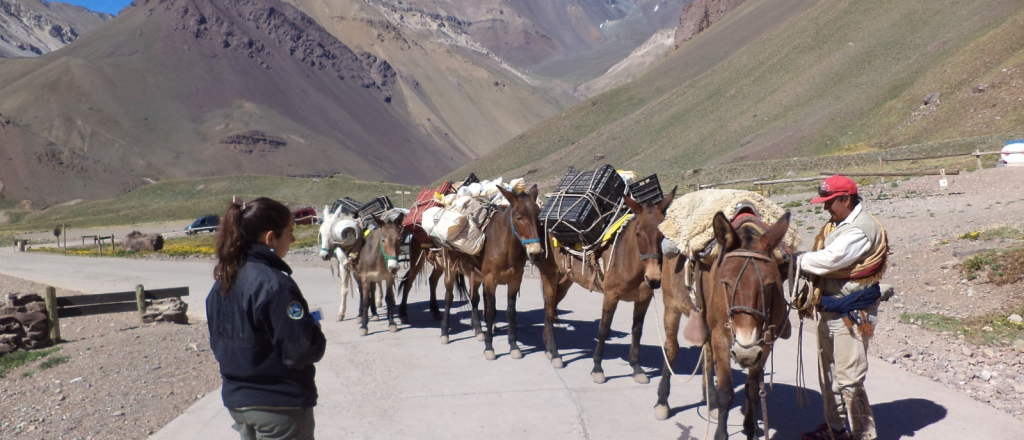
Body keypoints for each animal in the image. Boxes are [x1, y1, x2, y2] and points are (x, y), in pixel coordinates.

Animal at [536, 187, 671, 382]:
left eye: (663, 234)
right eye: (638, 233)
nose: (653, 278)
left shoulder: (643, 299)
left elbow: (637, 331)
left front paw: (637, 368)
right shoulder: (610, 296)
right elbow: (603, 329)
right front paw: (597, 368)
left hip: (565, 280)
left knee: (551, 307)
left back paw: (548, 347)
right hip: (549, 277)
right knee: (548, 312)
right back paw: (555, 354)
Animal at [651, 209, 794, 440]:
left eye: (770, 285)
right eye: (725, 283)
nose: (745, 352)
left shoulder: (764, 344)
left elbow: (753, 390)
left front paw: (751, 430)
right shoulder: (721, 335)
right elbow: (726, 391)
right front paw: (721, 433)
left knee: (708, 355)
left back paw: (710, 400)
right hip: (671, 305)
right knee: (671, 347)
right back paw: (663, 402)